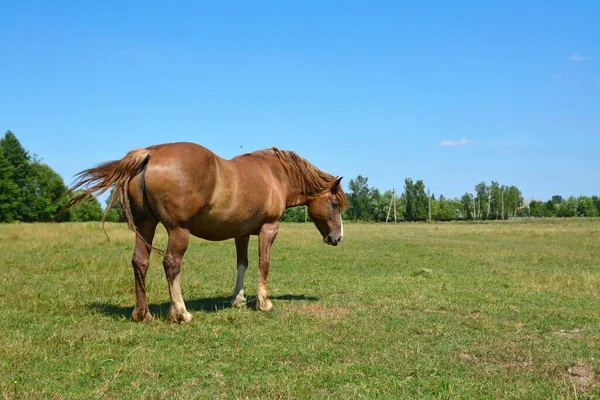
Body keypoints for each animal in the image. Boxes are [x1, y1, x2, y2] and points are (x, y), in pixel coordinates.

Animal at [61, 142, 346, 324]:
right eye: (334, 204)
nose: (338, 238)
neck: (275, 175)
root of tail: (150, 153)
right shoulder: (269, 228)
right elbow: (263, 263)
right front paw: (264, 303)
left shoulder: (242, 233)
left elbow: (242, 264)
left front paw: (237, 299)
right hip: (178, 231)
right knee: (171, 264)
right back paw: (181, 313)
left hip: (145, 225)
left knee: (140, 262)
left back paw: (143, 314)